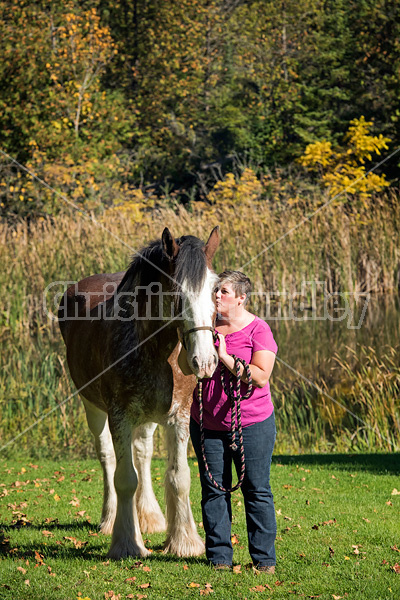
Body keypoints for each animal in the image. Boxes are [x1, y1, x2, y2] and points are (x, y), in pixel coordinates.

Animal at [56, 225, 220, 556]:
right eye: (177, 292)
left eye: (214, 289)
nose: (205, 361)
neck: (155, 349)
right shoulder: (119, 416)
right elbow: (124, 479)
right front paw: (127, 543)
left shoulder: (179, 417)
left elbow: (178, 477)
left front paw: (183, 541)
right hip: (93, 408)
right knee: (107, 457)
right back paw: (109, 520)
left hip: (146, 418)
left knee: (142, 454)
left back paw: (150, 517)